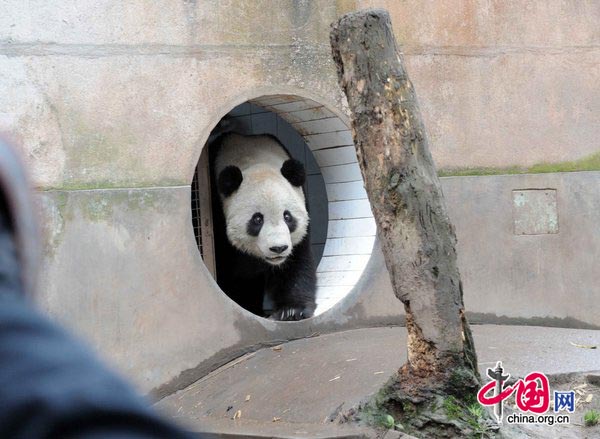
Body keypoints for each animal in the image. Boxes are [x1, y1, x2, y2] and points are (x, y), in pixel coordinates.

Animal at [209, 132, 316, 322]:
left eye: (287, 216)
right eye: (257, 219)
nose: (278, 248)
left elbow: (297, 262)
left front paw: (292, 310)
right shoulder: (217, 209)